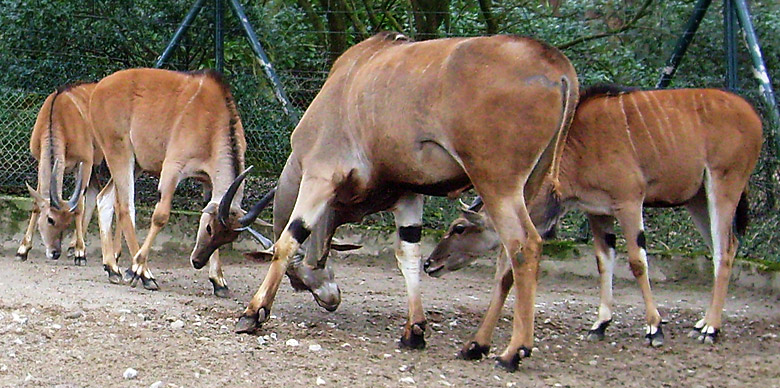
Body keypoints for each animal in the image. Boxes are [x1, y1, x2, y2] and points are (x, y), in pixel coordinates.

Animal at [87, 68, 272, 296]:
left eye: (228, 238)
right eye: (209, 229)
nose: (197, 262)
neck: (213, 120)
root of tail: (98, 89)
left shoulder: (207, 181)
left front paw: (219, 281)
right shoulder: (172, 168)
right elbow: (160, 216)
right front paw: (137, 269)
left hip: (136, 163)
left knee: (104, 199)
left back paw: (112, 268)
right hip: (119, 152)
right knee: (125, 207)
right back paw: (144, 274)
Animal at [225, 31, 580, 372]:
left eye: (298, 276)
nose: (330, 300)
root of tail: (557, 66)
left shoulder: (320, 175)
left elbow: (290, 238)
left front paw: (252, 313)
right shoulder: (408, 195)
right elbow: (409, 254)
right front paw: (414, 331)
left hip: (497, 184)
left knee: (524, 245)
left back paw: (513, 352)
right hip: (527, 186)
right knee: (507, 259)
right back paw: (476, 345)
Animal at [426, 86, 760, 350]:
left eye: (459, 228)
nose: (430, 263)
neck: (575, 147)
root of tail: (753, 115)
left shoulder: (629, 201)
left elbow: (637, 262)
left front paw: (654, 328)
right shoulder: (598, 211)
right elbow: (604, 261)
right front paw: (600, 325)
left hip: (724, 185)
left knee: (726, 248)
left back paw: (711, 328)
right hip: (697, 199)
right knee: (721, 248)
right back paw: (703, 323)